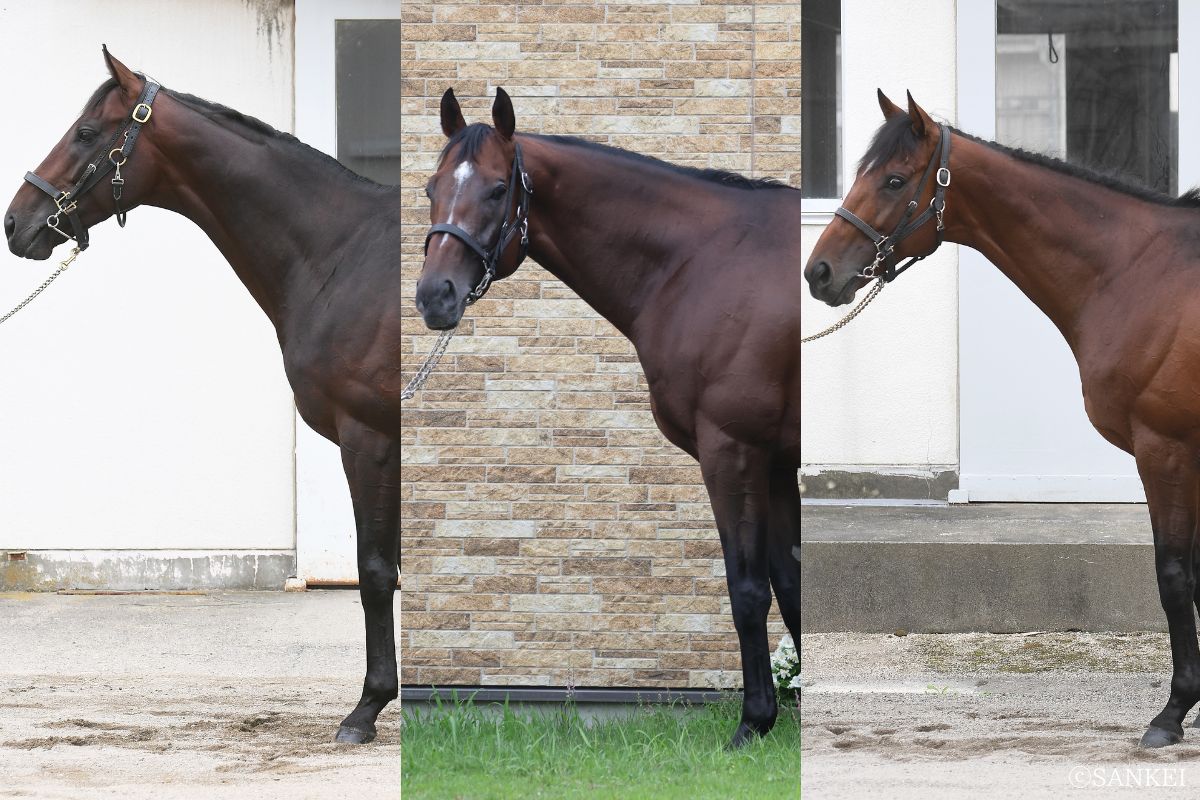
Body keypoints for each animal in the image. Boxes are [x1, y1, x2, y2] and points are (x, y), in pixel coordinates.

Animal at [4, 48, 400, 745]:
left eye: (86, 132)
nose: (15, 222)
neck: (345, 253)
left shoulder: (370, 438)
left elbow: (376, 570)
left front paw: (367, 708)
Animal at [415, 88, 801, 747]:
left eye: (497, 189)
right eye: (430, 188)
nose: (433, 295)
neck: (704, 262)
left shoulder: (734, 451)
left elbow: (748, 588)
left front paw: (754, 722)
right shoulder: (774, 462)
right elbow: (791, 580)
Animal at [804, 90, 1200, 749]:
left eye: (893, 180)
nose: (819, 272)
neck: (1139, 273)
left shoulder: (1165, 449)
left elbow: (1174, 576)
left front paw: (1172, 713)